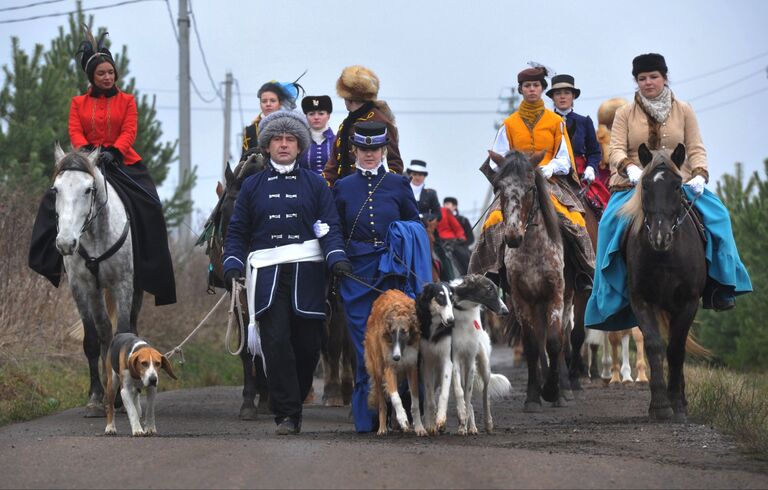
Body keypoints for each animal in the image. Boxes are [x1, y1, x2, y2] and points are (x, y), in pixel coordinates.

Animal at [364, 290, 426, 434]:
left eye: (404, 332)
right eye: (392, 332)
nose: (396, 357)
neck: (400, 312)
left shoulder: (411, 368)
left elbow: (415, 403)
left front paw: (419, 427)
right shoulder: (389, 368)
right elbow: (395, 398)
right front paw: (402, 418)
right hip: (378, 370)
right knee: (382, 403)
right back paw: (382, 428)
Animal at [452, 274, 512, 434]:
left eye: (497, 288)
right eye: (489, 289)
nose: (506, 311)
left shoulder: (470, 361)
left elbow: (468, 396)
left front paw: (464, 423)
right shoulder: (454, 359)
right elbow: (460, 393)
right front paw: (462, 421)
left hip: (484, 367)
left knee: (486, 395)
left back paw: (487, 423)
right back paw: (470, 426)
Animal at [616, 143, 708, 422]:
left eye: (677, 186)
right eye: (645, 185)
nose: (660, 237)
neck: (665, 255)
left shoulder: (688, 302)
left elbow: (676, 349)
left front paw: (676, 403)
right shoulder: (642, 300)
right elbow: (654, 345)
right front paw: (659, 405)